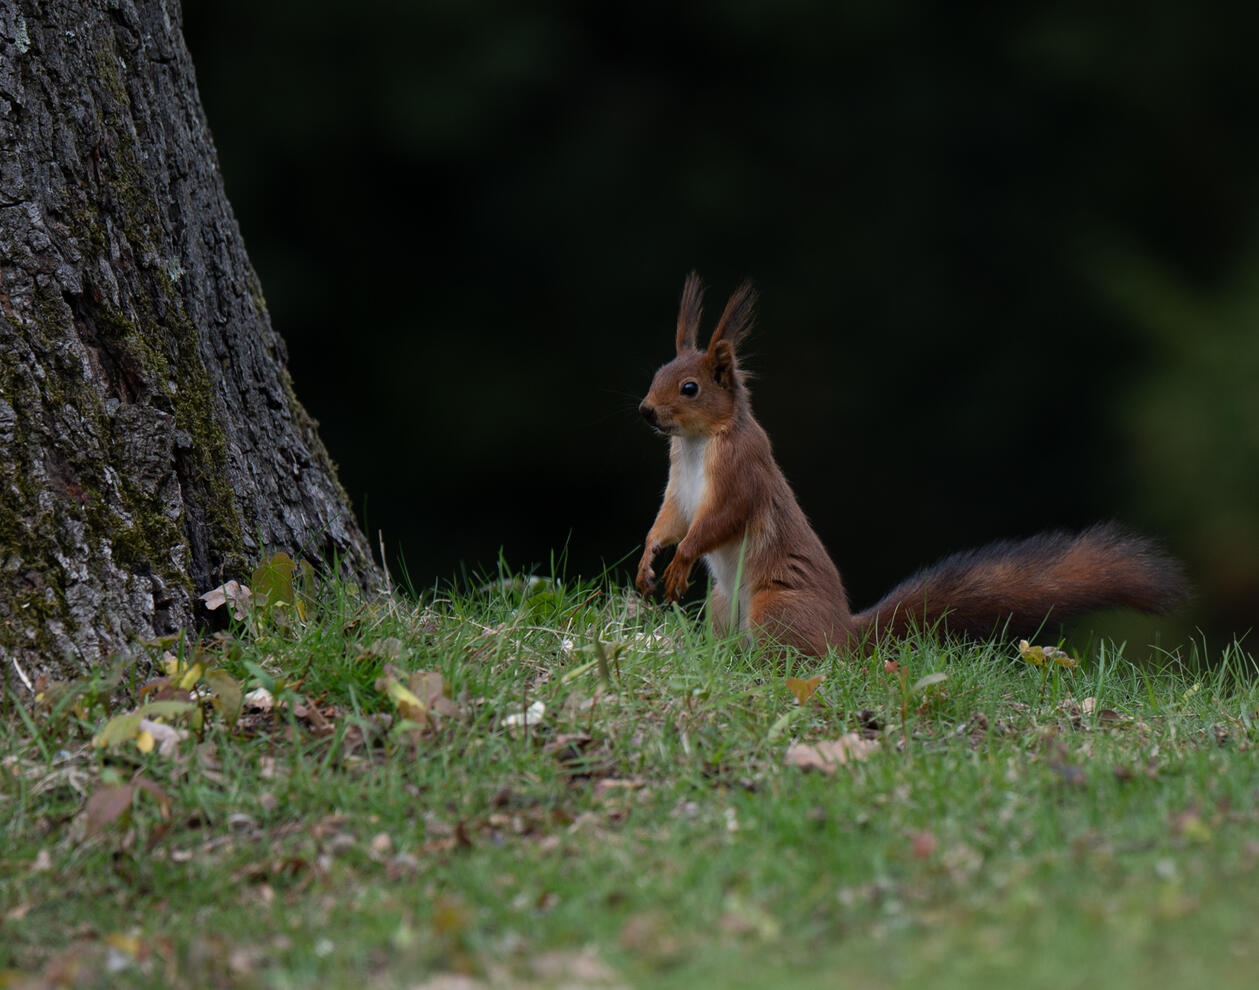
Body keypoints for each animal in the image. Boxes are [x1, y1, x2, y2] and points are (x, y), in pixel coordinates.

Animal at [635, 272, 1187, 656]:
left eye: (690, 388)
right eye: (658, 372)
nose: (645, 411)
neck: (698, 443)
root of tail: (846, 635)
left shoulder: (741, 472)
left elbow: (719, 520)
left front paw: (682, 560)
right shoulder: (678, 483)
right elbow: (670, 519)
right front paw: (648, 560)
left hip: (777, 608)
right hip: (722, 605)